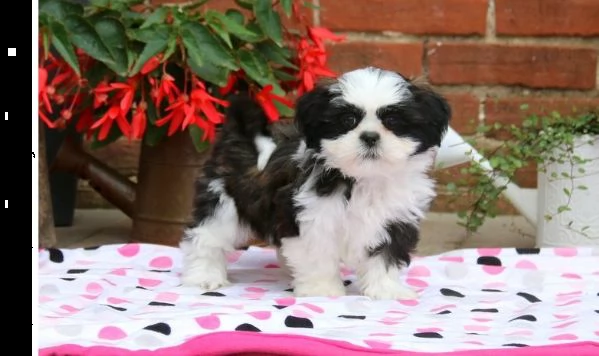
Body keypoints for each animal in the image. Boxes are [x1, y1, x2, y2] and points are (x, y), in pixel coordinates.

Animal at [180, 67, 452, 300]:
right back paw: (204, 275)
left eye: (393, 121)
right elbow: (316, 253)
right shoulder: (310, 216)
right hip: (223, 201)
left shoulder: (395, 220)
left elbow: (385, 255)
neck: (363, 178)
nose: (370, 137)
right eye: (348, 120)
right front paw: (321, 290)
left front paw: (386, 289)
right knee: (207, 236)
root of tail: (240, 134)